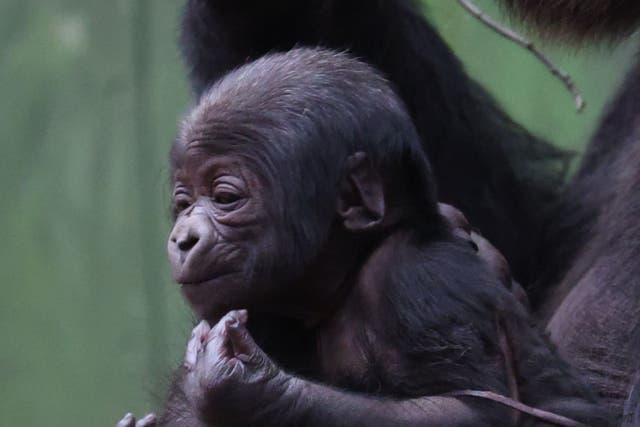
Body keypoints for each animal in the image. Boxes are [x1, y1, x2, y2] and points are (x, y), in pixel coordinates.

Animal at [130, 48, 608, 426]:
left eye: (225, 197)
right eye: (183, 202)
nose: (183, 238)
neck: (343, 279)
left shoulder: (418, 280)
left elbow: (472, 409)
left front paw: (246, 389)